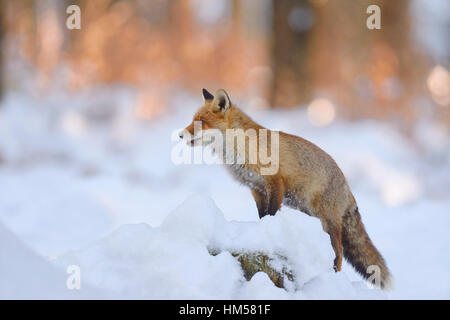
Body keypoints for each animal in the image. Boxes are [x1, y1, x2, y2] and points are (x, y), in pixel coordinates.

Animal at [179, 89, 390, 288]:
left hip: (326, 221)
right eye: (192, 120)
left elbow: (272, 213)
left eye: (201, 122)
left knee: (339, 252)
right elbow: (262, 215)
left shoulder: (276, 183)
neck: (241, 148)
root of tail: (347, 185)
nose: (180, 134)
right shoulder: (256, 188)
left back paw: (334, 275)